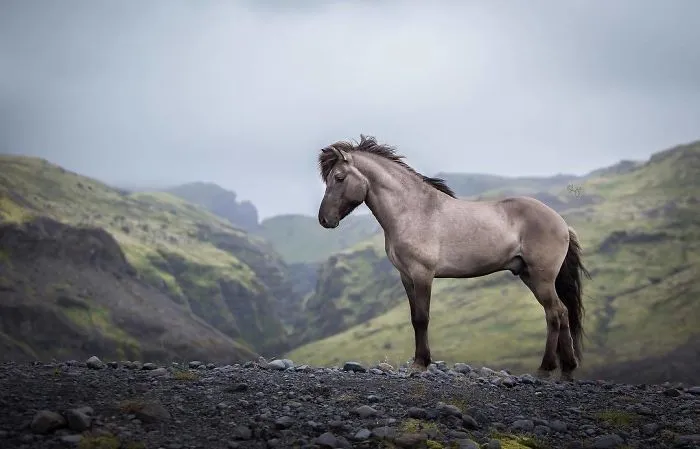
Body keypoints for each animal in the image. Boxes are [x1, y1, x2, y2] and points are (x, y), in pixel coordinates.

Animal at [316, 135, 591, 381]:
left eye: (339, 177)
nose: (324, 220)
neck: (413, 211)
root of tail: (562, 223)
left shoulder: (423, 274)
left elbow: (422, 318)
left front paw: (420, 364)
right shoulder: (406, 276)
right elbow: (414, 318)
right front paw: (420, 361)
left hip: (541, 278)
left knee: (554, 314)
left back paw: (545, 369)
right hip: (528, 275)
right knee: (562, 313)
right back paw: (567, 370)